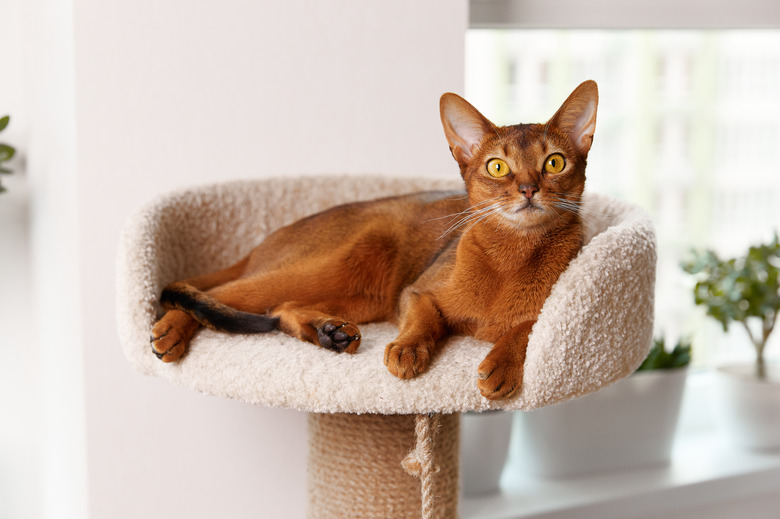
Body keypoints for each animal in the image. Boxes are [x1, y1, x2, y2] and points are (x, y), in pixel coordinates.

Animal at [154, 79, 604, 400]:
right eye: (497, 167)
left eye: (555, 163)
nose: (528, 189)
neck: (513, 256)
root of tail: (267, 240)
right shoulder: (417, 291)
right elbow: (424, 319)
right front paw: (407, 349)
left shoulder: (545, 311)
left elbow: (526, 328)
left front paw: (502, 363)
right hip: (328, 266)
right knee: (213, 293)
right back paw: (169, 333)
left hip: (363, 296)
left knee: (278, 308)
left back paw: (329, 332)